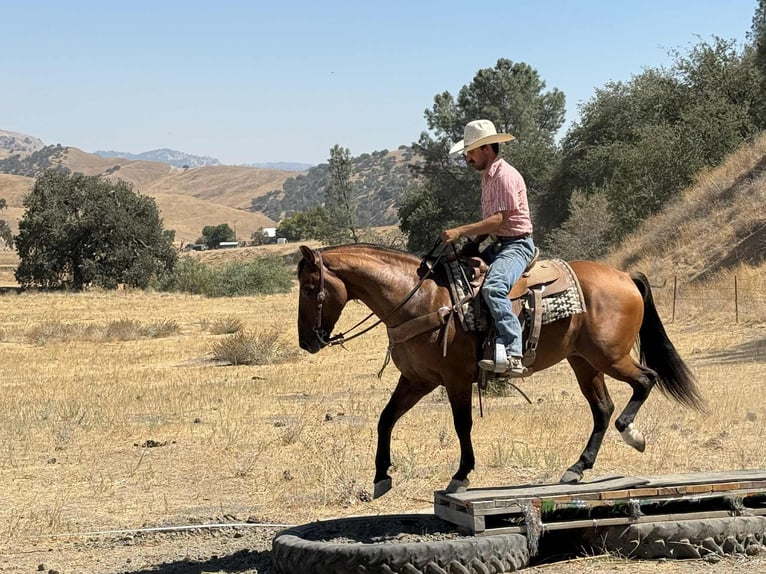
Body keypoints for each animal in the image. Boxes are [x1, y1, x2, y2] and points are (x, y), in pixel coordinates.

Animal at [296, 243, 706, 499]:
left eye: (310, 287)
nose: (306, 341)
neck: (419, 299)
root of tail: (624, 276)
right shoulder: (417, 379)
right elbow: (386, 419)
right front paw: (382, 477)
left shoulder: (455, 378)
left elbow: (462, 424)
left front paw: (461, 475)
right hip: (584, 361)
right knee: (602, 408)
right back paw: (578, 466)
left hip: (610, 356)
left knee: (644, 381)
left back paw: (631, 433)